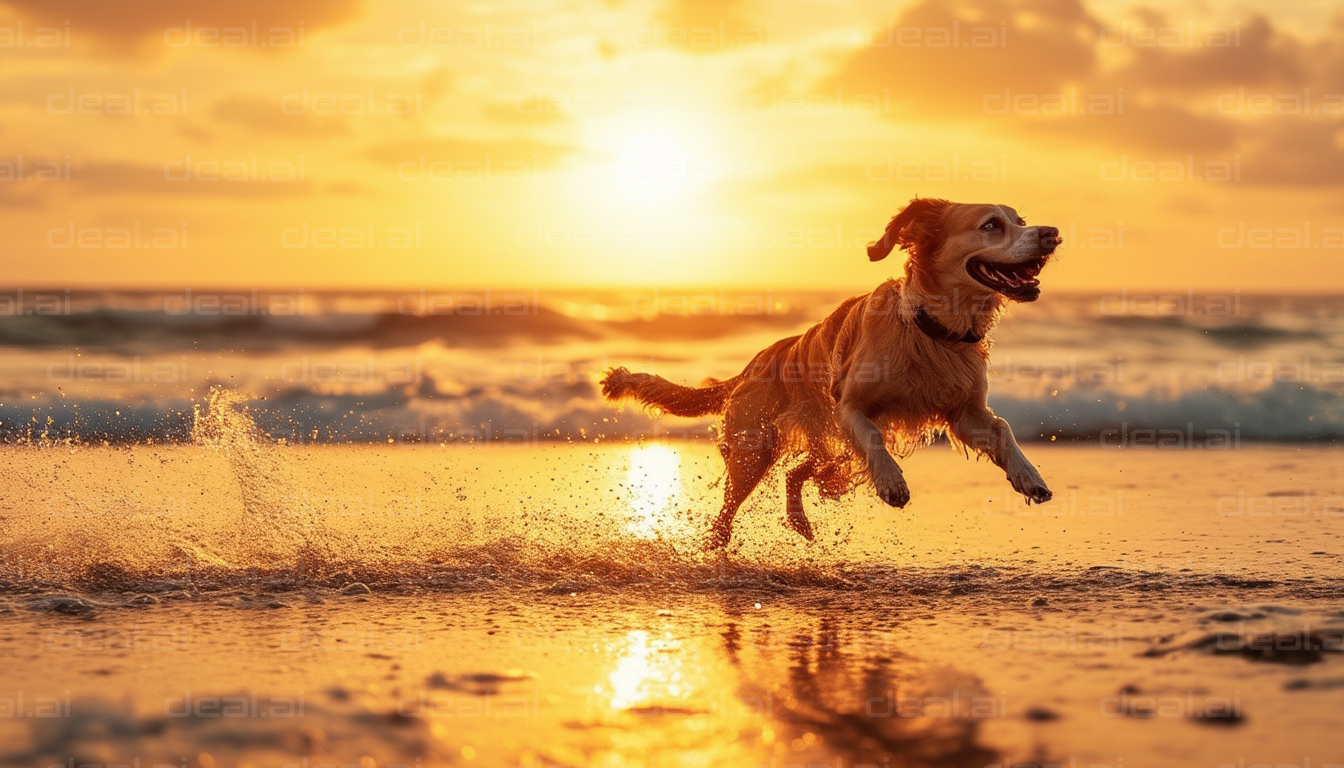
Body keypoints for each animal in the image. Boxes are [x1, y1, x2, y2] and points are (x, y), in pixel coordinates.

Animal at [607, 196, 1059, 546]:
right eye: (991, 225)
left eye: (1020, 221)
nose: (1052, 233)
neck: (929, 330)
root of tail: (755, 361)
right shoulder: (849, 407)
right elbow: (873, 435)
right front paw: (891, 481)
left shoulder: (965, 411)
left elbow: (1002, 428)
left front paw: (1028, 474)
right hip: (757, 448)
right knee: (733, 504)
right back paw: (718, 542)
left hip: (824, 444)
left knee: (798, 473)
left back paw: (802, 518)